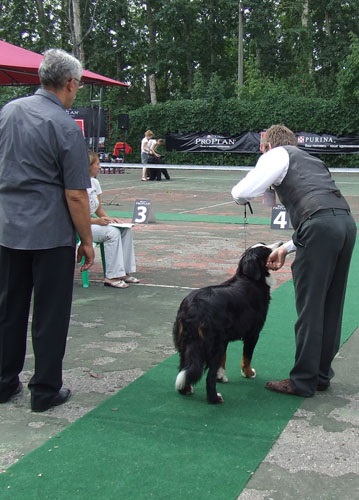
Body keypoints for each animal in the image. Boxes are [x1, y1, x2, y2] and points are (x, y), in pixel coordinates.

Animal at [173, 241, 282, 402]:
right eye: (266, 250)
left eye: (264, 244)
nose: (281, 243)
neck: (251, 280)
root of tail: (194, 306)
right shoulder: (252, 334)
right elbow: (247, 357)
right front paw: (249, 373)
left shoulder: (225, 339)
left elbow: (223, 360)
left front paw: (221, 376)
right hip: (212, 345)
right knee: (208, 377)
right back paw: (215, 398)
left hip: (185, 344)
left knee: (184, 367)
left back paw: (185, 390)